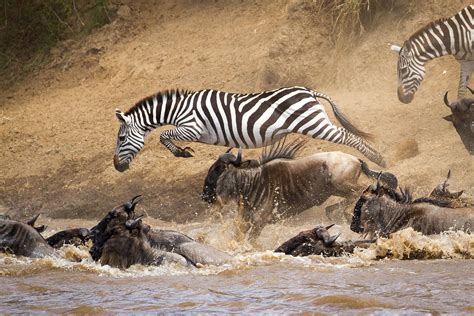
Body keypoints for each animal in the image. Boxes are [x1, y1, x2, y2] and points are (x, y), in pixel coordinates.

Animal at [114, 85, 386, 172]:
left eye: (122, 138)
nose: (117, 167)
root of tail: (308, 91)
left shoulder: (193, 128)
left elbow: (163, 134)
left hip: (313, 123)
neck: (180, 108)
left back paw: (379, 159)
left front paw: (181, 152)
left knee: (348, 137)